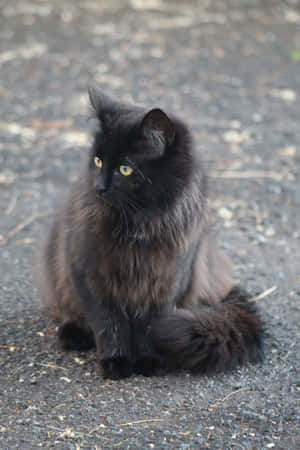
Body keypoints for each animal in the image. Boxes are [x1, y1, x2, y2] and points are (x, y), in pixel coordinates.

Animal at [36, 85, 264, 380]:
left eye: (125, 168)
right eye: (98, 161)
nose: (99, 187)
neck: (139, 222)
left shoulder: (167, 280)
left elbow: (150, 325)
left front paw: (149, 361)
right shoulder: (89, 272)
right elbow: (108, 323)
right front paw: (116, 362)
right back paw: (73, 334)